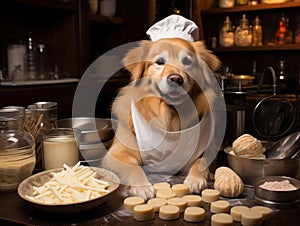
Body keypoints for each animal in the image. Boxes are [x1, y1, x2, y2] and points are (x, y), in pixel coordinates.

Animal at [101, 37, 220, 200]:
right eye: (160, 62)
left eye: (187, 61)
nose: (176, 79)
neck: (170, 116)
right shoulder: (116, 154)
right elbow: (134, 167)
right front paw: (142, 186)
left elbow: (201, 161)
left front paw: (195, 179)